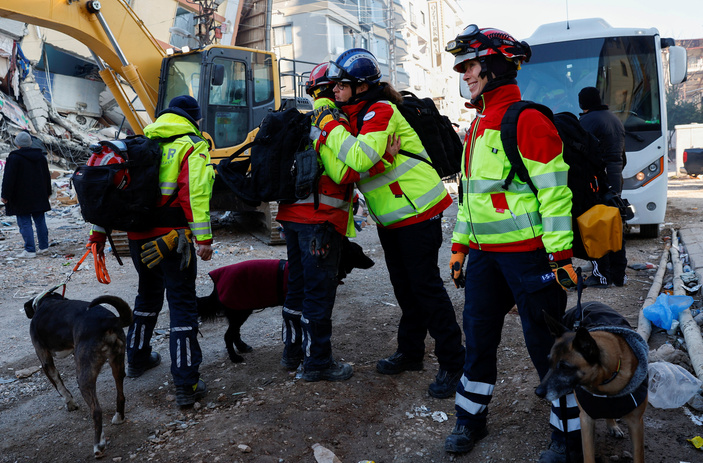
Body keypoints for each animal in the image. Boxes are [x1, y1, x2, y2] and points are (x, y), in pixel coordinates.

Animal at [24, 292, 132, 458]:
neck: (47, 300)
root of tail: (109, 320)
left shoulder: (45, 360)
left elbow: (59, 385)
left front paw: (70, 403)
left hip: (84, 378)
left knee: (96, 410)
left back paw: (98, 445)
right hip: (117, 364)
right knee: (120, 395)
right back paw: (119, 417)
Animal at [198, 239, 374, 362]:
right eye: (359, 252)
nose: (372, 262)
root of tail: (216, 286)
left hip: (241, 310)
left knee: (234, 332)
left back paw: (242, 347)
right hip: (239, 311)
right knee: (228, 335)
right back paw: (235, 358)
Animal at [540, 300, 648, 463]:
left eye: (565, 367)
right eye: (549, 363)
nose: (538, 392)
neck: (605, 384)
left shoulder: (636, 423)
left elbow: (639, 455)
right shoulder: (585, 419)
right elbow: (588, 454)